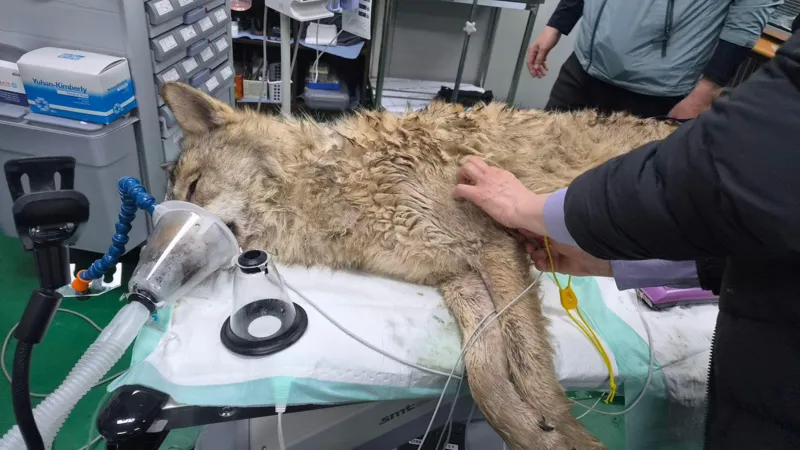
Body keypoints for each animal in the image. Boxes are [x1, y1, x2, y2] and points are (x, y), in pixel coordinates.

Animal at [160, 82, 676, 450]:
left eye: (194, 188)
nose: (155, 277)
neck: (332, 184)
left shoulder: (494, 246)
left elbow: (529, 366)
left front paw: (567, 434)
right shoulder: (458, 278)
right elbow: (486, 377)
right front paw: (534, 432)